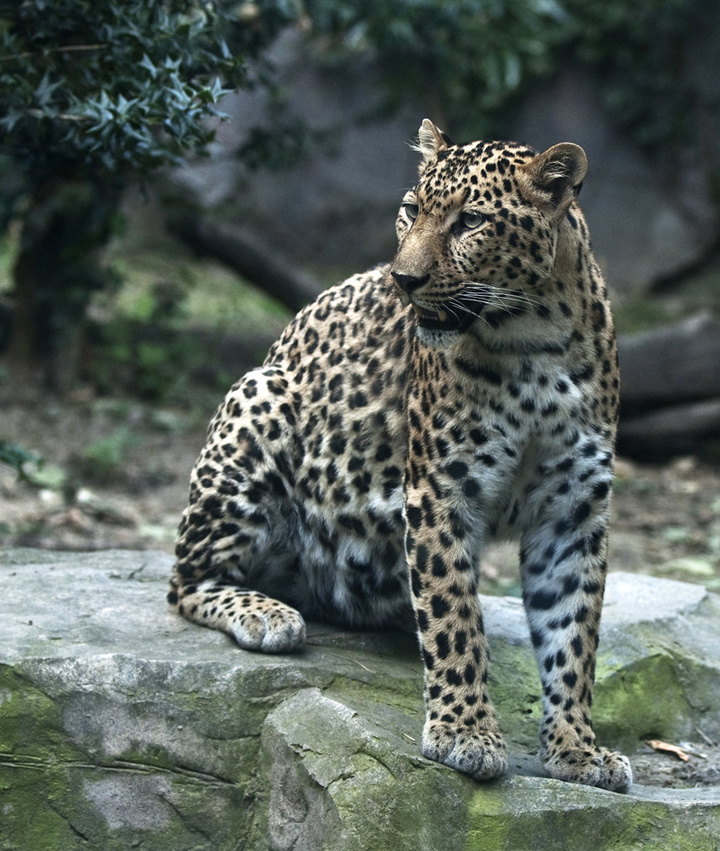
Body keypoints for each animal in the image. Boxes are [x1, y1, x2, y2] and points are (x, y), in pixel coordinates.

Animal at [169, 118, 632, 793]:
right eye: (411, 211)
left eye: (470, 221)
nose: (403, 280)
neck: (535, 343)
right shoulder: (441, 489)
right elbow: (454, 616)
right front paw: (466, 733)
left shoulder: (574, 508)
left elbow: (573, 633)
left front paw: (576, 748)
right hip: (259, 397)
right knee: (185, 579)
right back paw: (268, 615)